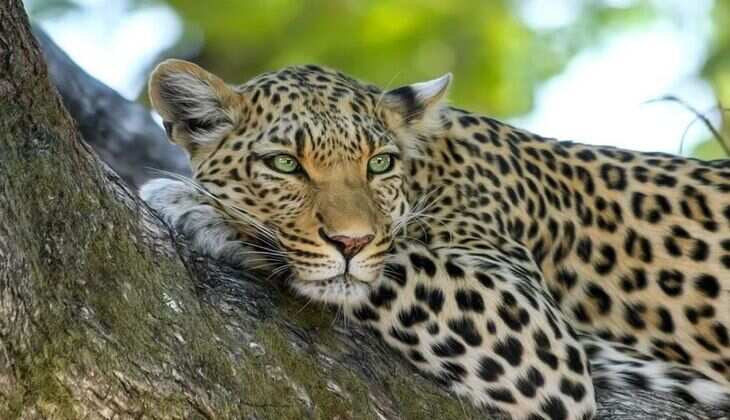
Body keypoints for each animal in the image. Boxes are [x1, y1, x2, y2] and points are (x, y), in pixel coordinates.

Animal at [140, 59, 730, 419]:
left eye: (378, 164)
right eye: (285, 164)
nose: (350, 243)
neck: (428, 171)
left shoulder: (535, 332)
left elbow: (397, 262)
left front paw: (200, 208)